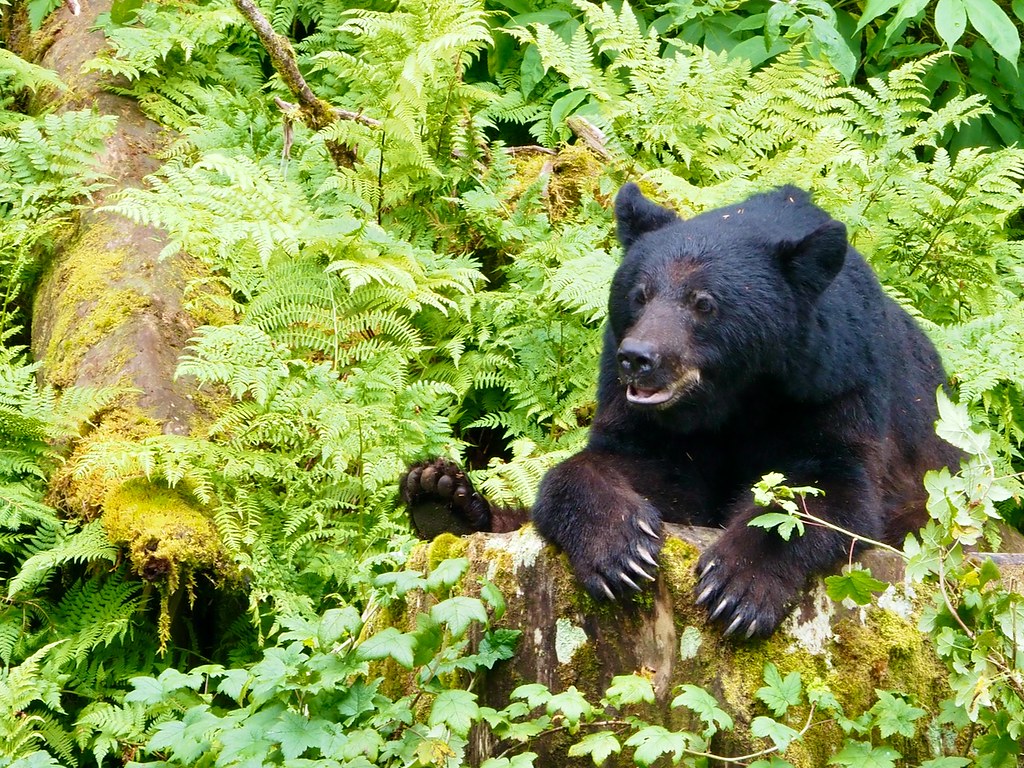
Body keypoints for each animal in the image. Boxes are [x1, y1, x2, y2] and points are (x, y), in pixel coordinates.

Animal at [403, 183, 959, 638]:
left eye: (704, 303)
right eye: (640, 294)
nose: (638, 358)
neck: (736, 397)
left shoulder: (835, 386)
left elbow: (831, 491)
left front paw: (737, 587)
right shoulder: (651, 421)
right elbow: (636, 471)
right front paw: (620, 550)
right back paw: (440, 494)